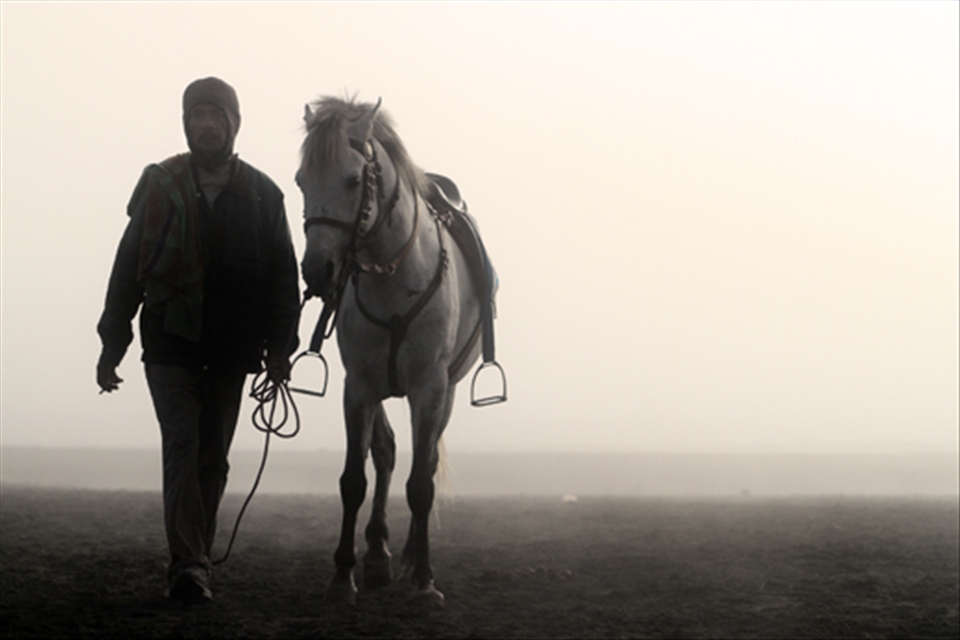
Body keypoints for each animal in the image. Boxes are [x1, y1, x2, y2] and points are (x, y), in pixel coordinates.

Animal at [297, 96, 495, 607]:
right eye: (301, 180)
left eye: (352, 180)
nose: (318, 270)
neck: (393, 278)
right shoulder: (360, 386)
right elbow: (354, 478)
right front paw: (342, 575)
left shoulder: (429, 388)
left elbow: (421, 483)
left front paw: (424, 580)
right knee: (384, 453)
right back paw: (377, 556)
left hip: (444, 393)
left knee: (422, 464)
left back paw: (405, 559)